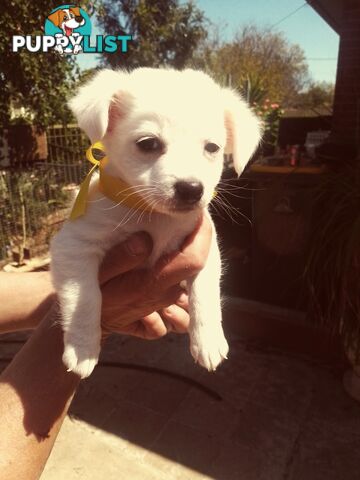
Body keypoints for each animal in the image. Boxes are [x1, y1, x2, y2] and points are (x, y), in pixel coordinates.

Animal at [50, 67, 260, 376]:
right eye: (149, 143)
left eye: (212, 147)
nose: (191, 189)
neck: (157, 218)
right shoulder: (75, 246)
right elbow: (85, 298)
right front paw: (82, 348)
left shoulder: (205, 250)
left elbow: (205, 293)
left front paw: (208, 341)